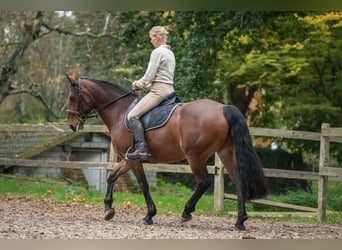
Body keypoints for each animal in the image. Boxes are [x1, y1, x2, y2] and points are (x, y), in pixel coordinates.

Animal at [65, 74, 268, 230]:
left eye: (72, 98)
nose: (72, 125)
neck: (120, 111)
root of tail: (223, 108)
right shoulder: (128, 158)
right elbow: (112, 176)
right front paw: (108, 209)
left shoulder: (134, 160)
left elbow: (143, 184)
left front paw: (149, 215)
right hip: (225, 152)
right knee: (238, 181)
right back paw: (240, 220)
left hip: (195, 156)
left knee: (203, 181)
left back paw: (186, 212)